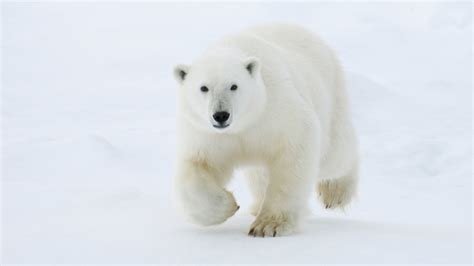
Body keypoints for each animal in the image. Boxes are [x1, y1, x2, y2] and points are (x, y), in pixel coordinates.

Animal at [172, 23, 358, 237]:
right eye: (203, 87)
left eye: (234, 86)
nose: (221, 115)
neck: (244, 123)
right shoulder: (206, 134)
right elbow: (197, 167)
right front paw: (228, 206)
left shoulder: (276, 110)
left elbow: (296, 149)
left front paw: (268, 225)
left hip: (330, 96)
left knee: (335, 157)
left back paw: (335, 191)